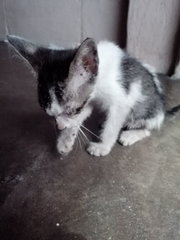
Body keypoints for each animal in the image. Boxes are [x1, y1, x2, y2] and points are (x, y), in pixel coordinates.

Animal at [7, 34, 180, 157]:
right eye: (48, 114)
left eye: (72, 111)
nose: (59, 127)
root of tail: (162, 110)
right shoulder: (87, 99)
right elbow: (82, 116)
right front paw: (66, 139)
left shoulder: (120, 101)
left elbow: (113, 124)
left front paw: (102, 146)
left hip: (146, 111)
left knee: (150, 126)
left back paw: (131, 134)